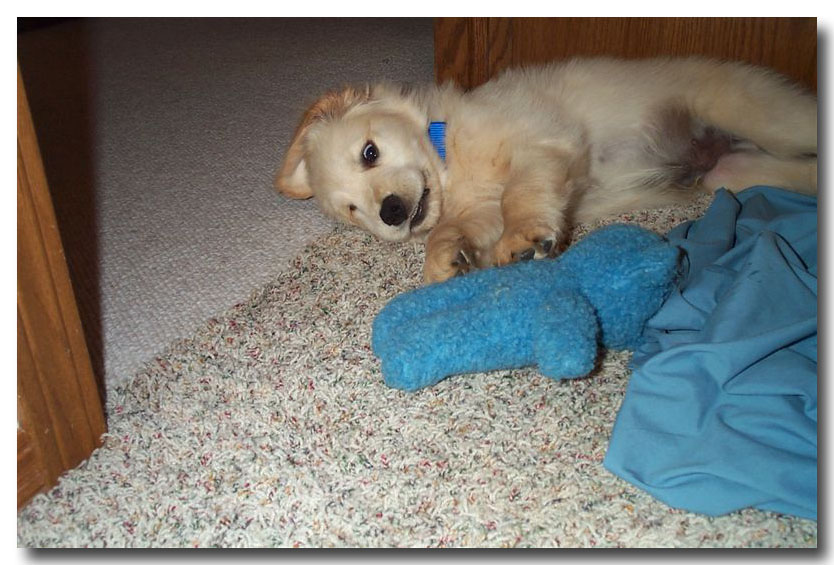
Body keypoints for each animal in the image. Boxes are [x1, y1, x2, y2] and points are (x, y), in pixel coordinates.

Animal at [275, 57, 817, 283]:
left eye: (369, 153)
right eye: (353, 211)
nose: (390, 212)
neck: (451, 156)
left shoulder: (542, 143)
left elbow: (521, 195)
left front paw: (522, 240)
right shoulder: (479, 208)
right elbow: (454, 228)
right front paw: (447, 260)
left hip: (761, 116)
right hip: (734, 173)